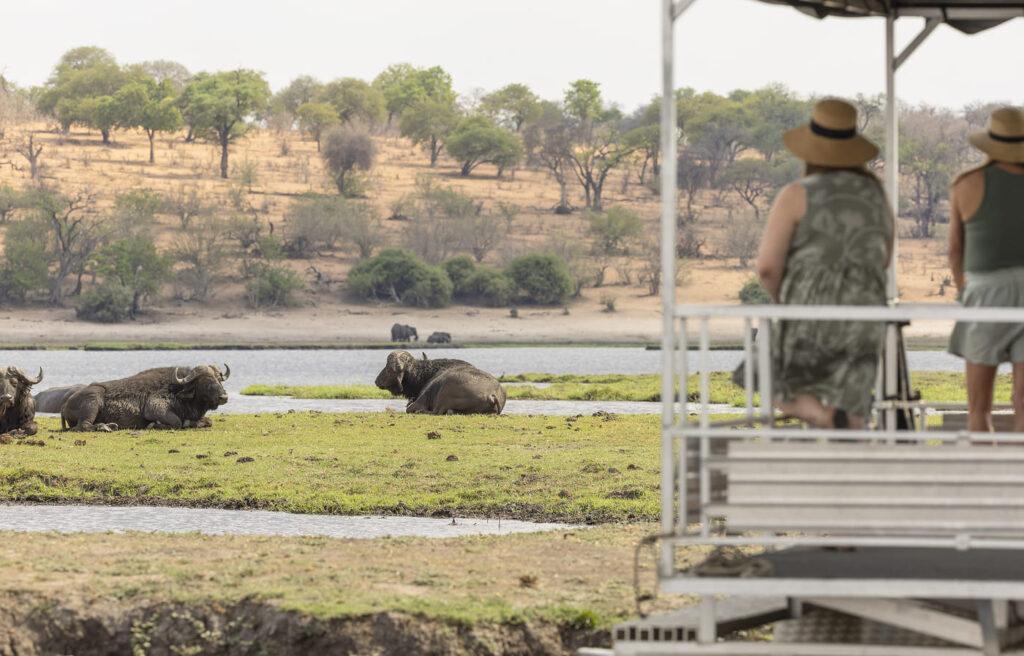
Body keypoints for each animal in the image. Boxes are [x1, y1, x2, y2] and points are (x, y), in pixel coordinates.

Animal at [62, 364, 230, 432]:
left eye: (219, 379)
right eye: (206, 381)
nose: (223, 397)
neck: (176, 389)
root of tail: (65, 405)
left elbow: (207, 421)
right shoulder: (155, 410)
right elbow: (177, 422)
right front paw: (153, 425)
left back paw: (111, 426)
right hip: (93, 400)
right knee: (83, 426)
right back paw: (105, 427)